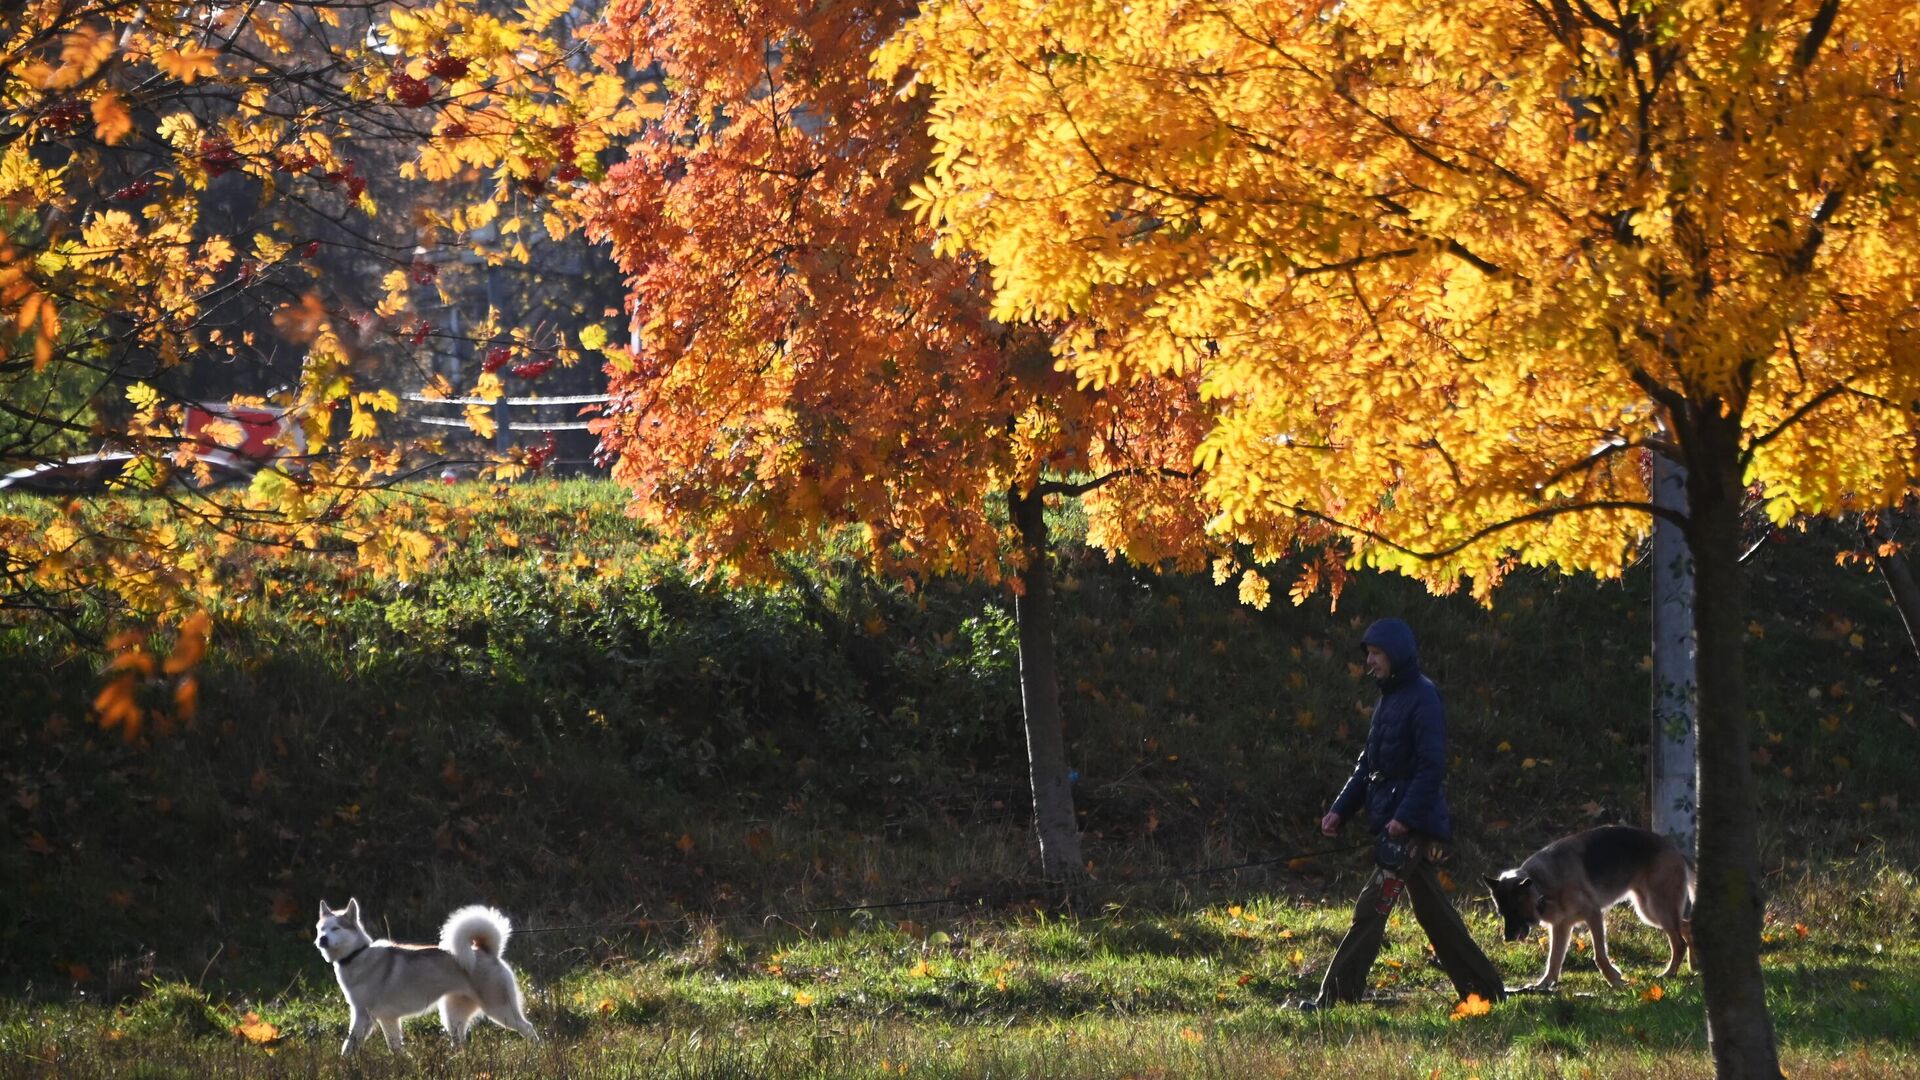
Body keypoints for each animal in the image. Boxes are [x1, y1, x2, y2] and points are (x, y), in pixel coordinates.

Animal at [314, 891, 537, 1053]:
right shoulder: (385, 1018)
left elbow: (350, 1045)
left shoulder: (365, 1016)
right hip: (452, 1016)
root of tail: (486, 950)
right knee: (460, 1044)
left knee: (528, 1028)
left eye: (336, 928)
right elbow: (391, 1047)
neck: (357, 955)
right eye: (320, 929)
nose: (321, 939)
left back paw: (536, 1052)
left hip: (500, 1011)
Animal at [1482, 818, 1697, 991]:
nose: (1507, 939)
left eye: (1515, 911)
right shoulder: (1561, 928)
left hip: (1657, 908)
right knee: (1687, 927)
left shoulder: (1593, 915)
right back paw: (1694, 966)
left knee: (1679, 942)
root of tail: (1675, 850)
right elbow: (1554, 960)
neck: (1541, 886)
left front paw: (1614, 980)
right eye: (1502, 913)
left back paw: (1669, 973)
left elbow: (1599, 955)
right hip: (1650, 911)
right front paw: (1544, 984)